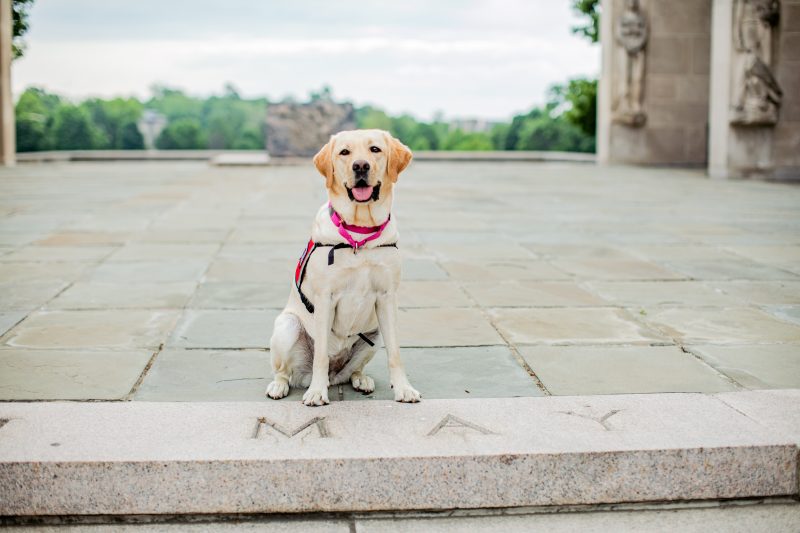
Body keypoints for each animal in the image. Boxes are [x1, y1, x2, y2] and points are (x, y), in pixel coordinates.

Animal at [268, 131, 422, 406]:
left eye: (375, 149)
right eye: (344, 152)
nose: (360, 166)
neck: (359, 232)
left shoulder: (387, 298)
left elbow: (395, 353)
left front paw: (403, 388)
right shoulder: (325, 298)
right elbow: (320, 356)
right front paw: (317, 393)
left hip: (374, 334)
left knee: (353, 370)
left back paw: (361, 379)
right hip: (287, 326)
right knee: (285, 370)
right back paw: (280, 386)